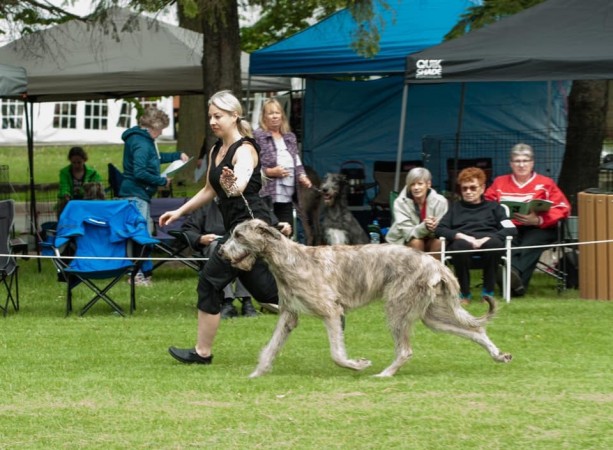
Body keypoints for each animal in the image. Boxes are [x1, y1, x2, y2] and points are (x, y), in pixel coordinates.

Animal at [220, 220, 512, 378]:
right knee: (475, 330)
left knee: (405, 350)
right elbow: (270, 347)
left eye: (238, 235)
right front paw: (256, 374)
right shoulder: (288, 315)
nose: (221, 252)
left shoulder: (331, 311)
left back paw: (385, 374)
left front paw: (356, 365)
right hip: (432, 314)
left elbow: (337, 353)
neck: (288, 259)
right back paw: (497, 354)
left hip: (398, 308)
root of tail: (435, 264)